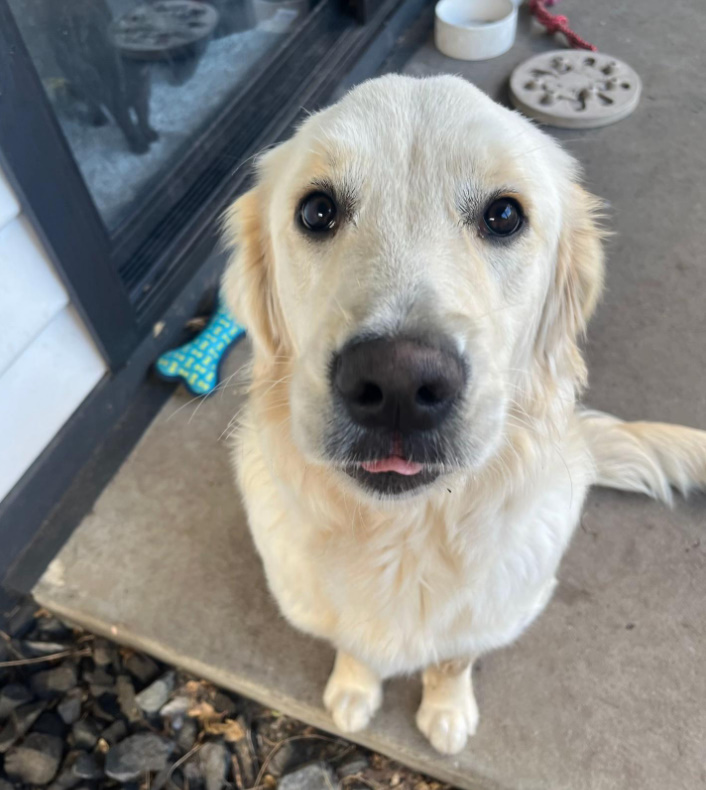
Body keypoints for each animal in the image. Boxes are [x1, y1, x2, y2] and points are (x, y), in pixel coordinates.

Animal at [221, 76, 704, 760]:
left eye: (503, 215)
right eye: (316, 211)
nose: (397, 382)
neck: (403, 533)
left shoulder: (497, 613)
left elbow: (452, 659)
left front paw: (447, 710)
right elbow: (352, 645)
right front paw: (354, 689)